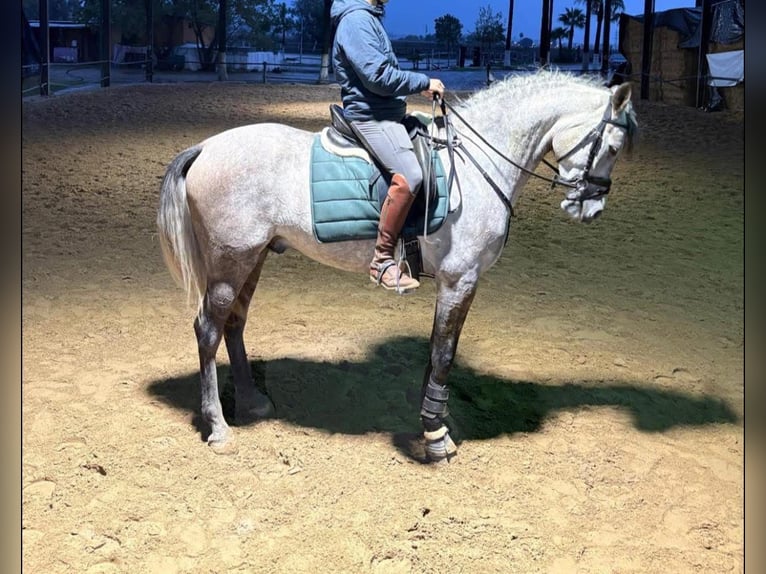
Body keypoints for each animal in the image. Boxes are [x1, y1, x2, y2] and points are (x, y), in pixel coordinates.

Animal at [156, 71, 637, 462]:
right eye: (613, 147)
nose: (590, 209)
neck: (478, 165)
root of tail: (206, 147)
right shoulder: (460, 279)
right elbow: (444, 352)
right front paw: (437, 438)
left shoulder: (457, 284)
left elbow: (437, 351)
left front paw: (432, 421)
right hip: (230, 261)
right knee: (208, 329)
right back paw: (218, 427)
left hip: (251, 257)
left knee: (234, 325)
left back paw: (252, 402)